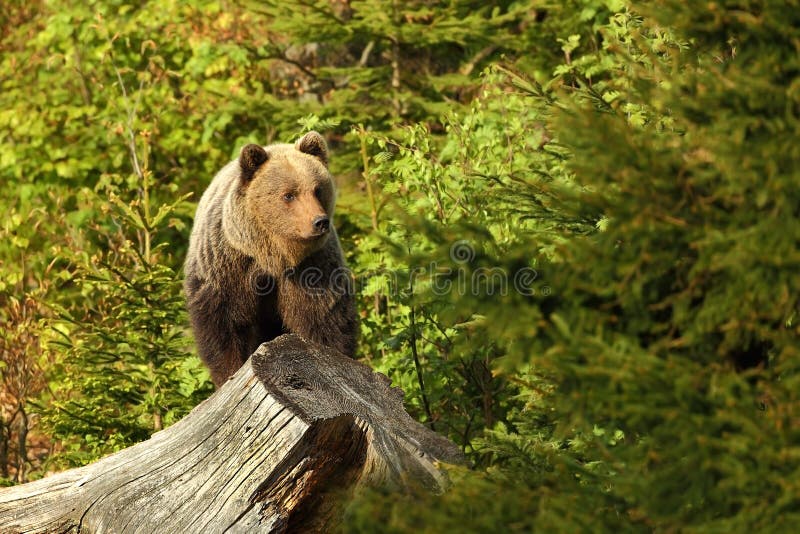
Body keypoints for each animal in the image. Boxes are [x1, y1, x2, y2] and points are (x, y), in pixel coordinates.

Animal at [184, 132, 360, 388]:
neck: (274, 255)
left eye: (318, 189)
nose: (320, 222)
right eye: (289, 194)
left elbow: (324, 319)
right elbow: (224, 323)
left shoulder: (312, 268)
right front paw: (228, 373)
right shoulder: (228, 264)